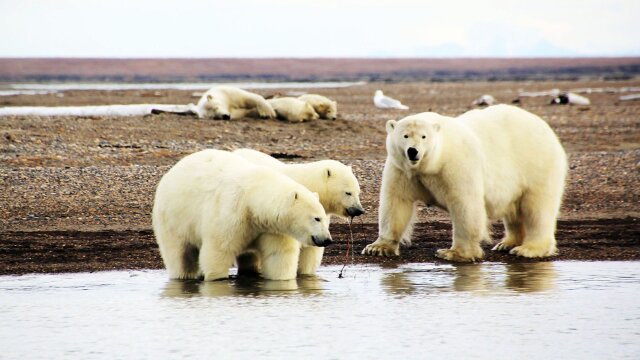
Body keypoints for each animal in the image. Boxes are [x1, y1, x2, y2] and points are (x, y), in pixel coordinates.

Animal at [150, 149, 330, 282]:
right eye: (316, 218)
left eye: (323, 217)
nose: (327, 240)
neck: (253, 198)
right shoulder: (230, 212)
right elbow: (218, 250)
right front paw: (217, 278)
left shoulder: (272, 228)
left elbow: (278, 256)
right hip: (173, 218)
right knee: (178, 254)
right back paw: (183, 274)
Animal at [362, 104, 568, 262]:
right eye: (405, 135)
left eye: (423, 136)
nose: (413, 151)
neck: (431, 163)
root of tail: (544, 126)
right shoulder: (402, 170)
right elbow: (396, 202)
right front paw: (377, 248)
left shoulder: (455, 164)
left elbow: (465, 205)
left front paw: (453, 253)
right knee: (514, 212)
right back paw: (506, 243)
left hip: (536, 164)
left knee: (537, 209)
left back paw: (529, 249)